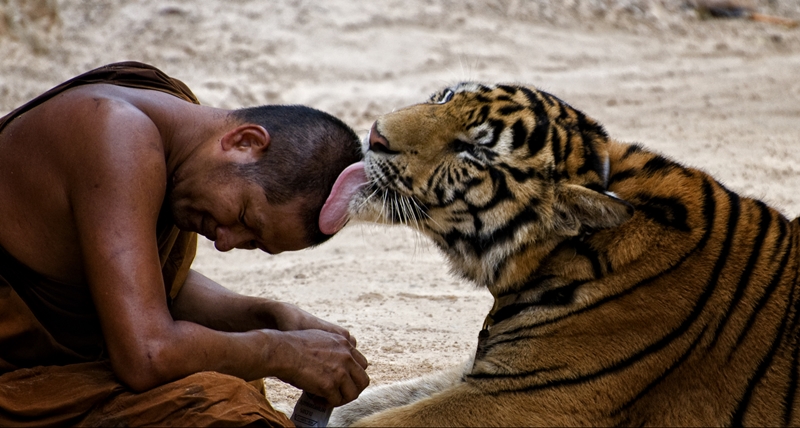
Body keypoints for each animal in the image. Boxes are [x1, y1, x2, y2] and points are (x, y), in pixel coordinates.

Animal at [326, 82, 800, 426]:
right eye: (441, 98)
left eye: (473, 151)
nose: (374, 133)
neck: (554, 254)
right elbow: (360, 406)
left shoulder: (518, 396)